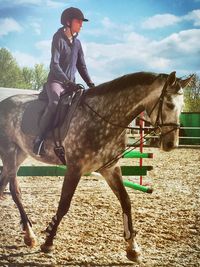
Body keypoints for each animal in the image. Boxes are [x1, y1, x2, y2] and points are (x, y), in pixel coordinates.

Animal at [0, 70, 192, 262]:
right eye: (169, 105)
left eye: (182, 107)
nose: (171, 144)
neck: (104, 118)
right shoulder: (75, 168)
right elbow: (64, 205)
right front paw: (48, 241)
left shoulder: (110, 168)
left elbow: (126, 201)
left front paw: (133, 248)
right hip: (9, 152)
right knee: (15, 191)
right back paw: (30, 234)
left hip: (20, 153)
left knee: (4, 183)